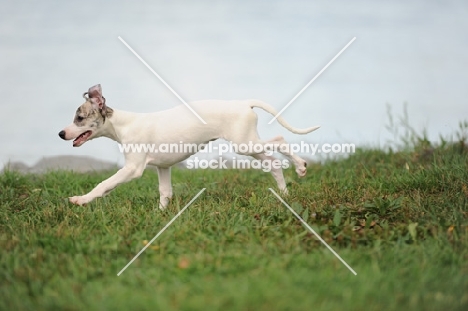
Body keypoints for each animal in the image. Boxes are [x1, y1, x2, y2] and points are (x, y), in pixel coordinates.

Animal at [58, 84, 320, 208]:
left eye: (79, 118)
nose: (61, 133)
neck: (124, 124)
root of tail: (243, 103)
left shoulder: (133, 169)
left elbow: (104, 184)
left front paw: (81, 199)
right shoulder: (162, 168)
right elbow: (165, 193)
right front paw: (160, 216)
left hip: (245, 144)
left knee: (280, 140)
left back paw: (300, 166)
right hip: (249, 146)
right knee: (274, 163)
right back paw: (285, 193)